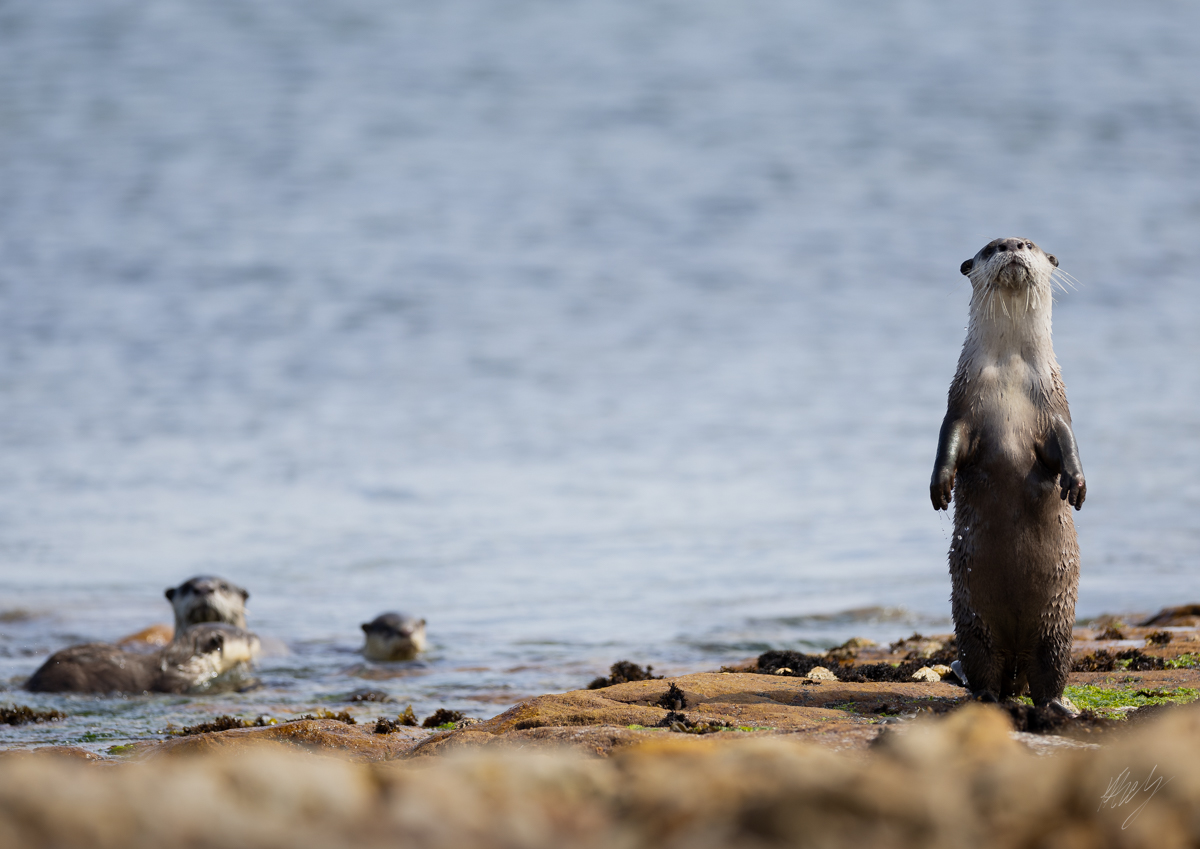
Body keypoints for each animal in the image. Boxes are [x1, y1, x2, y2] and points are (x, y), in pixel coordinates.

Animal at [931, 237, 1085, 713]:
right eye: (990, 247)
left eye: (1030, 244)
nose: (1012, 245)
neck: (1012, 372)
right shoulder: (961, 405)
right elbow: (949, 441)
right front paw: (940, 487)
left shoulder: (1055, 404)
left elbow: (1067, 443)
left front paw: (1076, 484)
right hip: (973, 616)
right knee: (984, 663)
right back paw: (984, 696)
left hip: (1057, 621)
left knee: (1050, 669)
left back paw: (1056, 705)